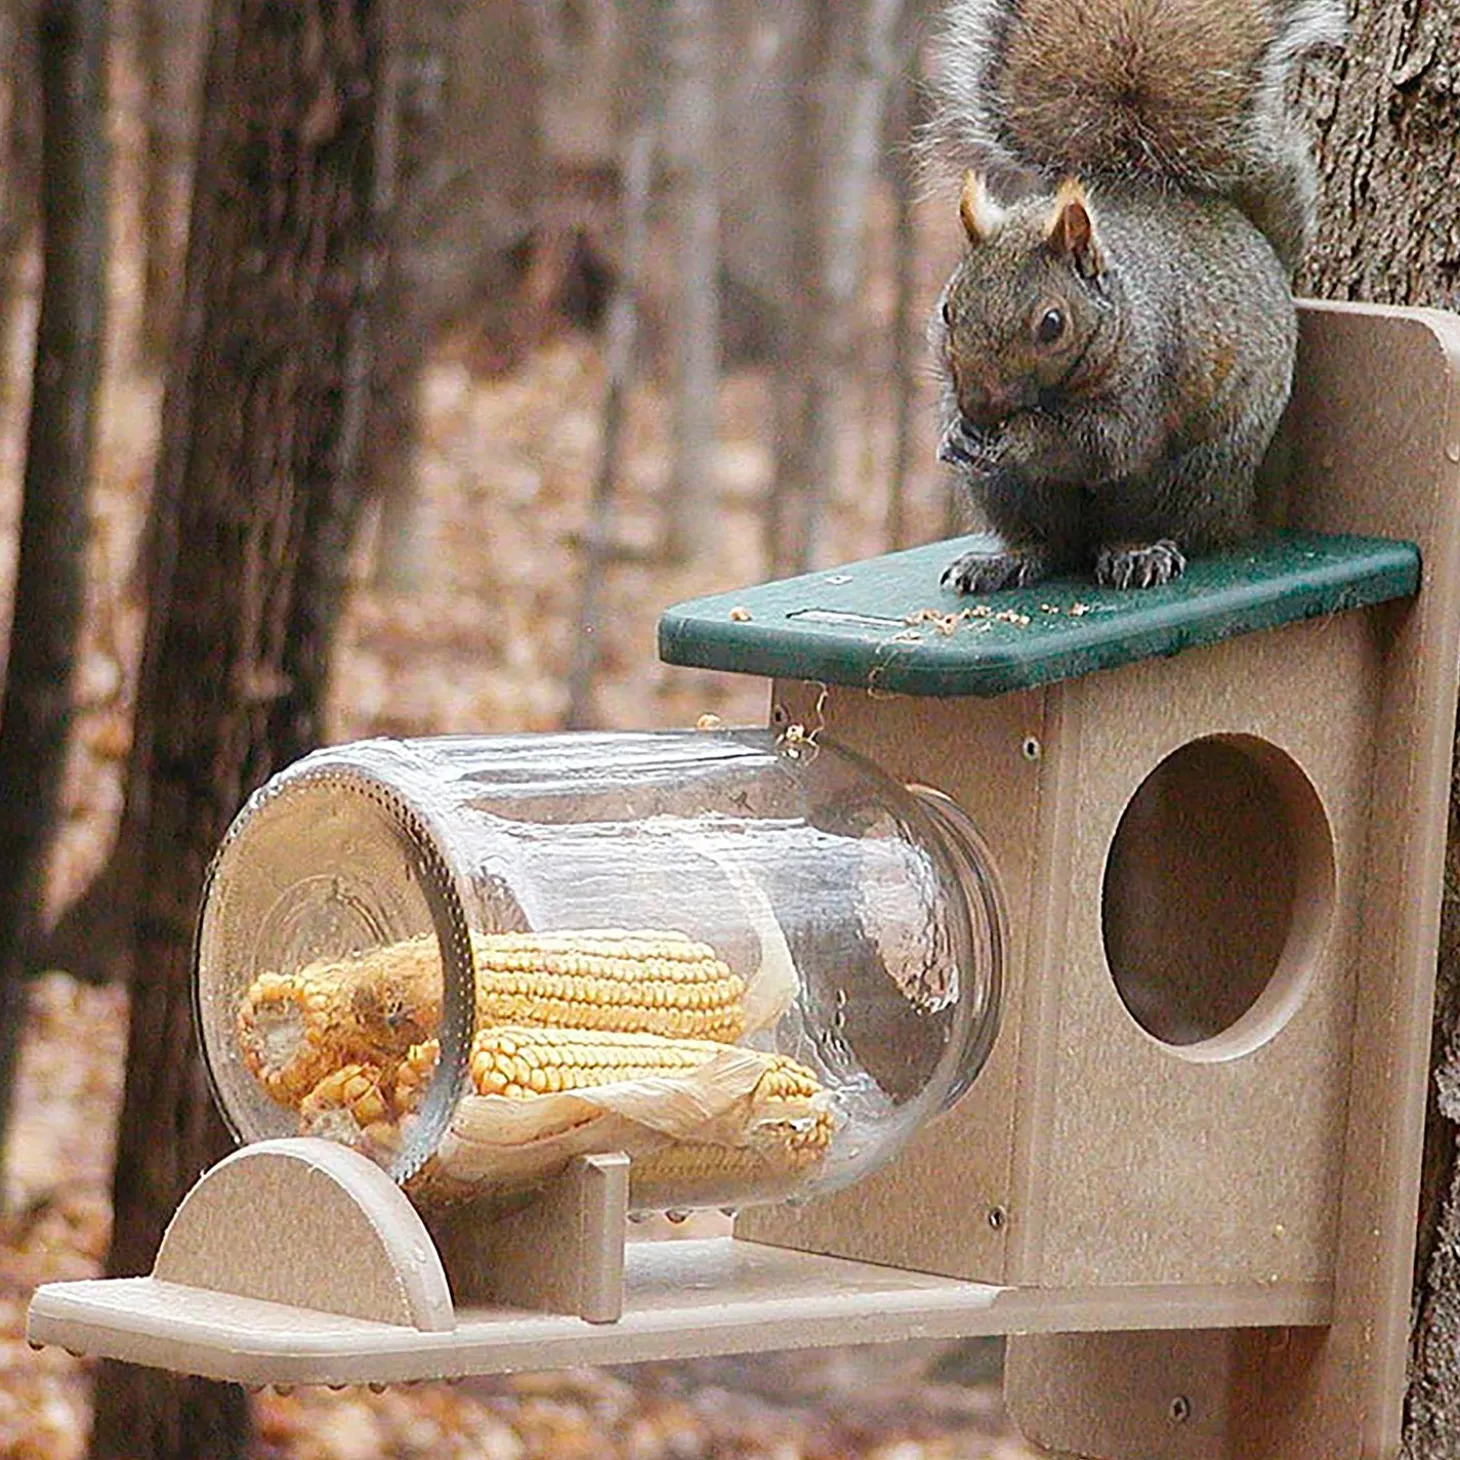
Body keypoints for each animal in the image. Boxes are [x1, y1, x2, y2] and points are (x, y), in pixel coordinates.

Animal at [922, 1, 1343, 592]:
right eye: (946, 310)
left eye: (1052, 324)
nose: (979, 409)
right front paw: (954, 434)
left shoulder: (1144, 381)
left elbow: (1097, 444)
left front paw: (1021, 436)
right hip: (1010, 493)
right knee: (1046, 542)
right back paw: (1004, 560)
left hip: (1188, 476)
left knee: (1151, 523)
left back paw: (1138, 552)